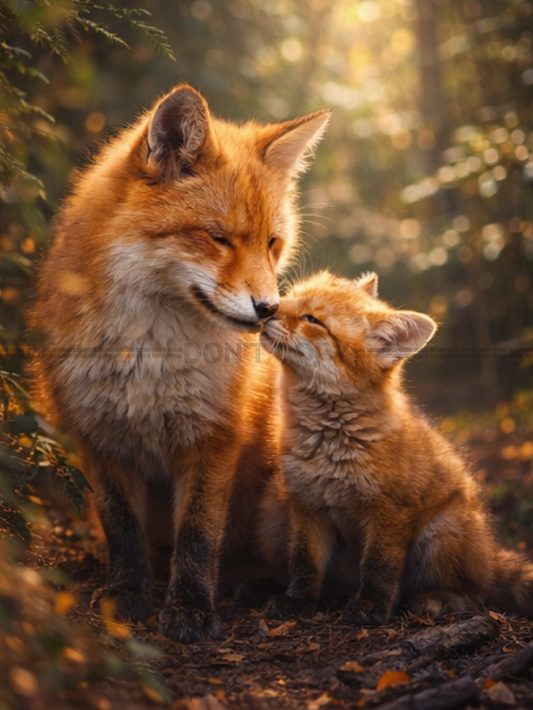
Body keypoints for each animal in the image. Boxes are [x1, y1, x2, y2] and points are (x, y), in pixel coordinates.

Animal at [30, 83, 329, 642]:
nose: (269, 309)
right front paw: (127, 597)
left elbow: (198, 535)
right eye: (219, 237)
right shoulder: (100, 436)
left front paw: (190, 607)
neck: (150, 356)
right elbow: (122, 530)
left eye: (271, 243)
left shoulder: (212, 437)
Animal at [258, 270, 533, 624]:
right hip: (271, 515)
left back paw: (438, 599)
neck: (330, 443)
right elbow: (305, 565)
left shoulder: (390, 512)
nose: (265, 308)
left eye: (312, 319)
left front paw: (372, 605)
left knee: (476, 593)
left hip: (441, 534)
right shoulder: (306, 508)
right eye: (289, 298)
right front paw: (297, 601)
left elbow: (380, 567)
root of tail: (490, 551)